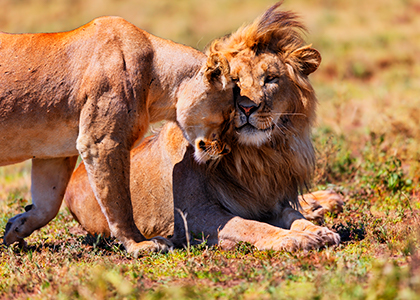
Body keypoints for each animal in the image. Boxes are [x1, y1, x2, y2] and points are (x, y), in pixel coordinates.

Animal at [0, 16, 233, 255]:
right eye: (229, 116)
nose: (226, 149)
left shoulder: (53, 153)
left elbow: (47, 205)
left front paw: (15, 229)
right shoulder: (101, 143)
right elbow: (119, 201)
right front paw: (139, 243)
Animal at [65, 4, 342, 252]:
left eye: (271, 79)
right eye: (235, 81)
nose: (247, 108)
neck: (256, 157)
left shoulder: (268, 202)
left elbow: (293, 216)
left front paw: (318, 231)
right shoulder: (192, 215)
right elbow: (249, 225)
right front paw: (292, 239)